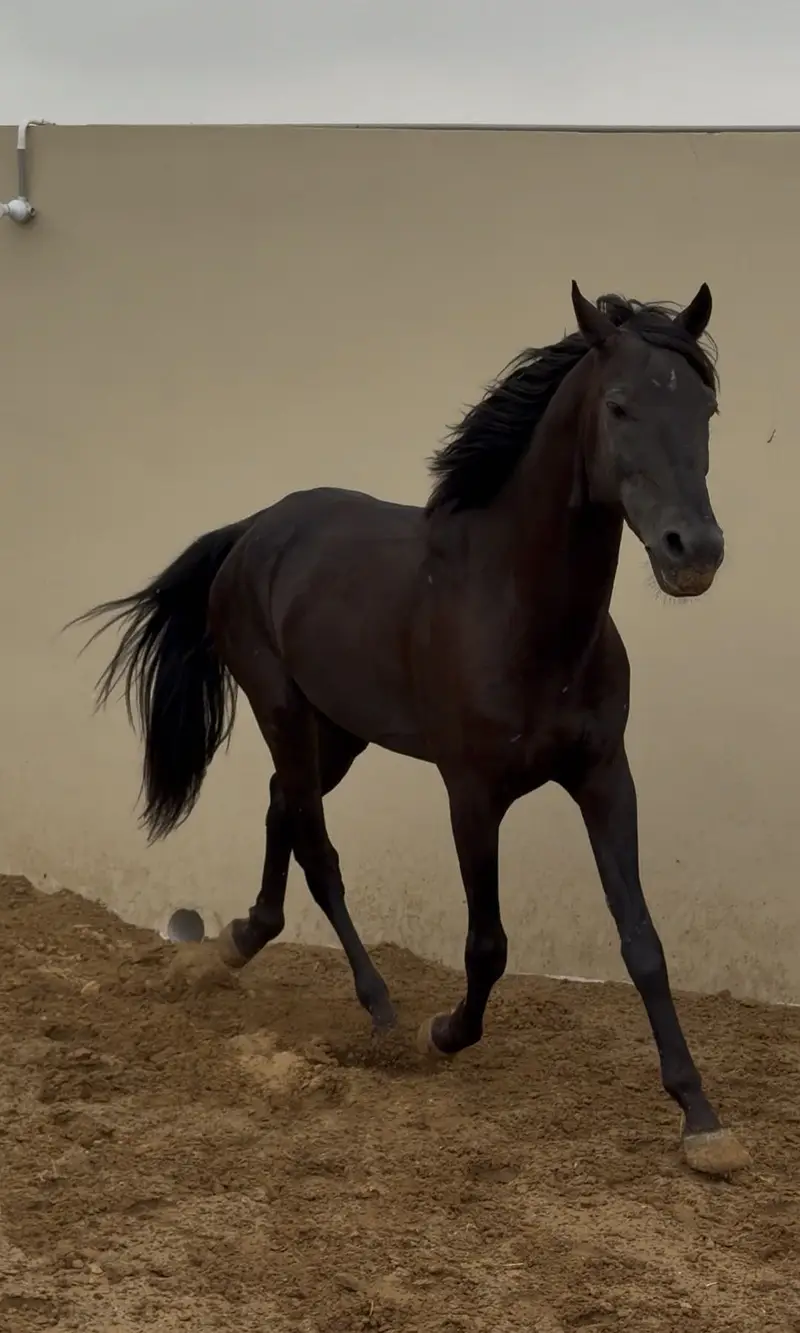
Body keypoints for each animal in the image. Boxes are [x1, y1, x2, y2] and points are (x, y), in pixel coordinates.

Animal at [72, 280, 749, 1178]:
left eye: (705, 407)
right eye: (619, 405)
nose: (693, 551)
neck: (522, 614)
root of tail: (254, 529)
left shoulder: (606, 776)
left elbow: (641, 939)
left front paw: (701, 1117)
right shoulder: (472, 792)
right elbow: (488, 941)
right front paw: (446, 1032)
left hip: (339, 729)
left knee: (280, 808)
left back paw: (239, 942)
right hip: (281, 708)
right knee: (316, 846)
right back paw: (381, 1007)